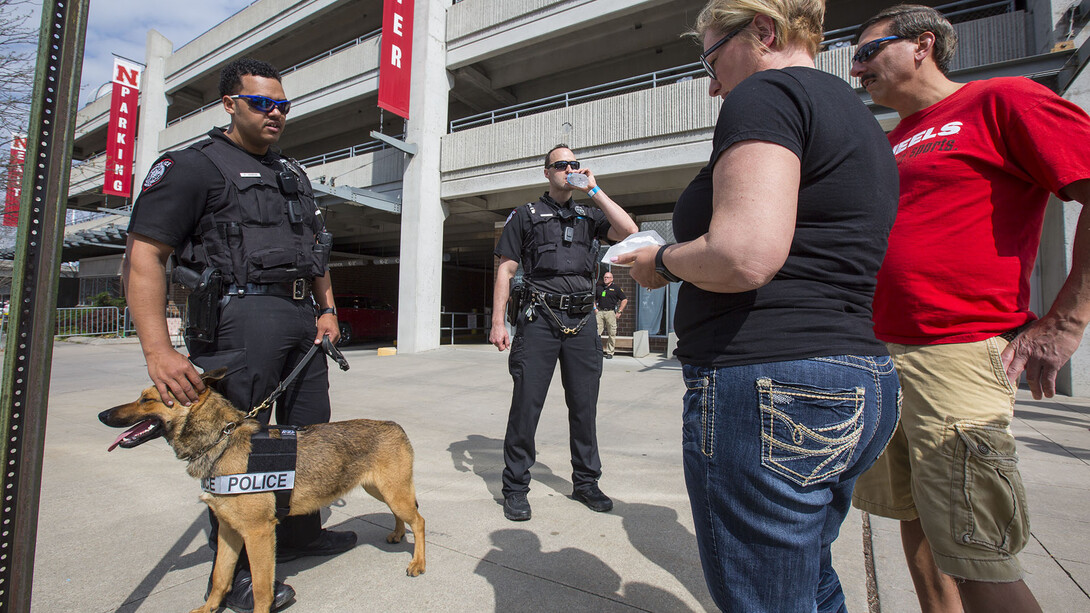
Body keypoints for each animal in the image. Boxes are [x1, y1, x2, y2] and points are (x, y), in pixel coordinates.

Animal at [101, 366, 425, 610]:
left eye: (147, 400)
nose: (102, 415)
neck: (221, 440)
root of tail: (395, 425)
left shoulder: (258, 533)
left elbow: (260, 588)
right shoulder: (229, 531)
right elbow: (220, 577)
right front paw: (208, 608)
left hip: (393, 493)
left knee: (419, 521)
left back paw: (418, 562)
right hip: (382, 491)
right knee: (402, 516)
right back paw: (397, 533)